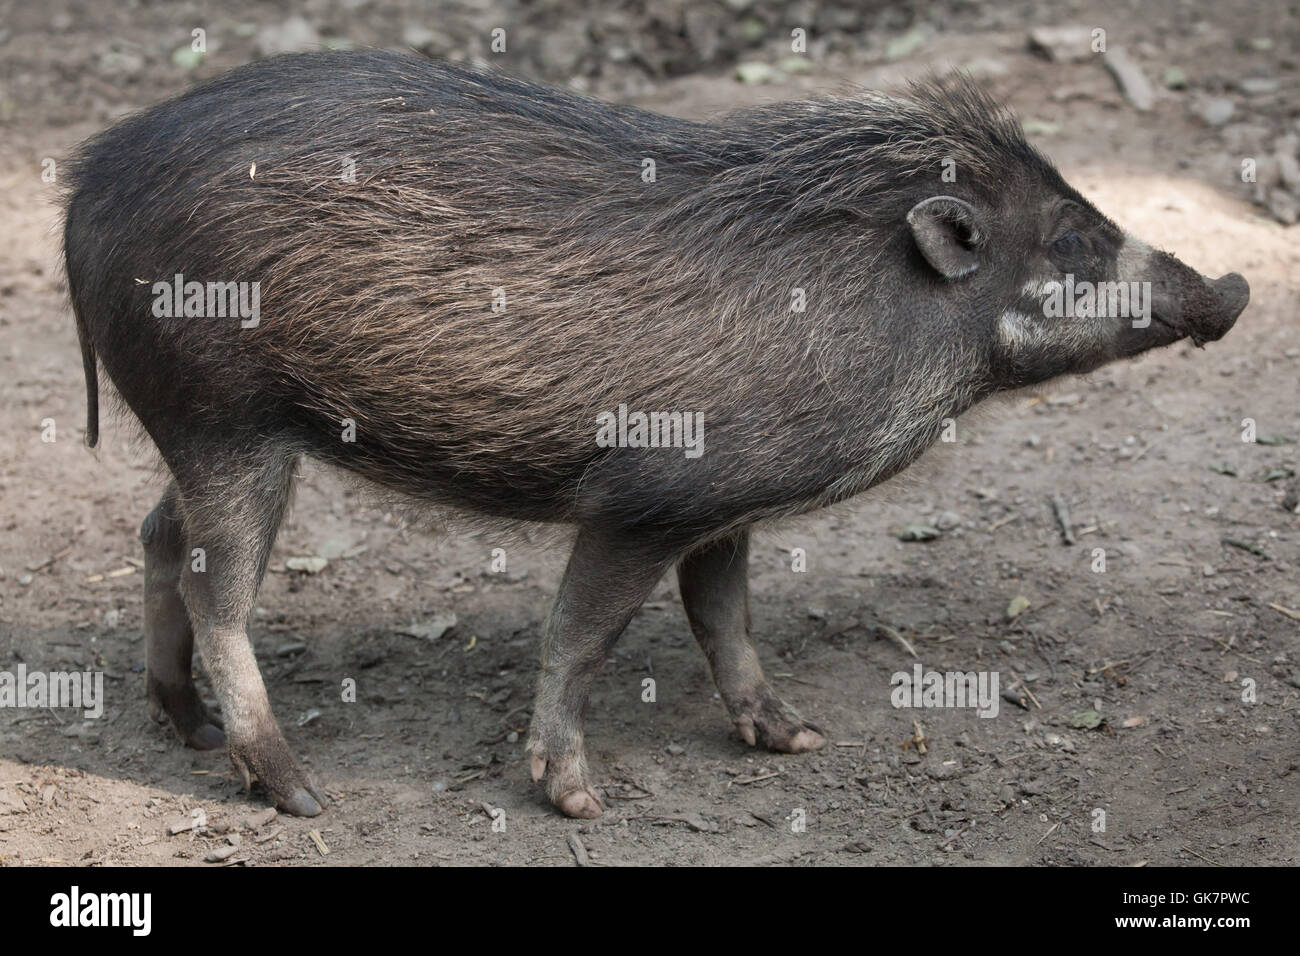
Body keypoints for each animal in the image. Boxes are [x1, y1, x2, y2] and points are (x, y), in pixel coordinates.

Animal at [61, 51, 1249, 818]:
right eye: (1069, 238)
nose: (1234, 287)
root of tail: (83, 185)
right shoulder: (646, 498)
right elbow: (580, 636)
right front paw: (578, 801)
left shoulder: (728, 508)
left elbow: (726, 618)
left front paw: (792, 738)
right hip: (225, 421)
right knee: (218, 591)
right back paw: (299, 791)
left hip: (207, 429)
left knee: (156, 536)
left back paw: (188, 729)